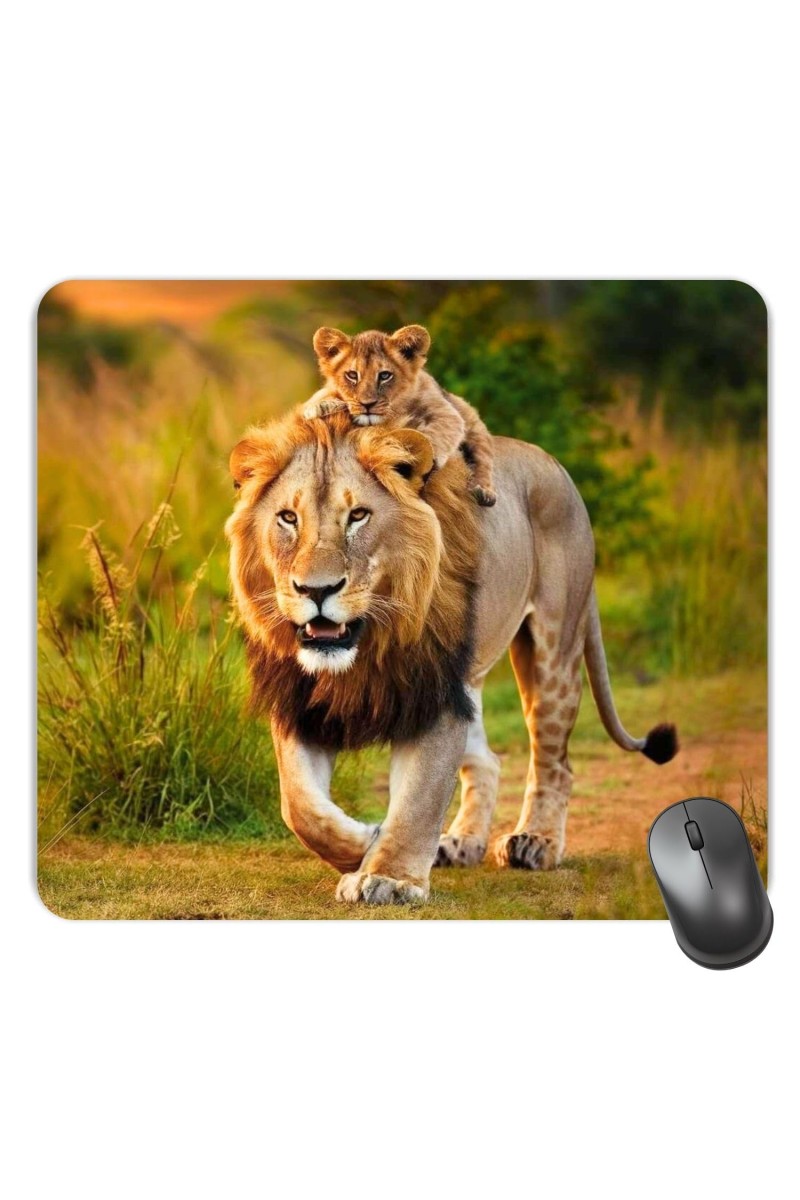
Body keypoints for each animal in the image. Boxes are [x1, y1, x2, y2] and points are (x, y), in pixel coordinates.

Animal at [226, 410, 677, 905]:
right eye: (288, 518)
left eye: (358, 516)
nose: (316, 590)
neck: (364, 647)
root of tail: (555, 465)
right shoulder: (299, 699)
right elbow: (299, 805)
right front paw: (363, 843)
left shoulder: (434, 694)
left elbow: (418, 798)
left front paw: (391, 877)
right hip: (469, 678)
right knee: (487, 760)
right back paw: (460, 843)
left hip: (552, 650)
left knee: (555, 762)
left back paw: (535, 842)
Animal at [303, 324, 497, 506]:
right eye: (352, 375)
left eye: (384, 376)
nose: (367, 404)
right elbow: (323, 395)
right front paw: (317, 405)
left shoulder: (446, 412)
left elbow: (436, 433)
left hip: (474, 427)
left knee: (483, 460)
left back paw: (484, 491)